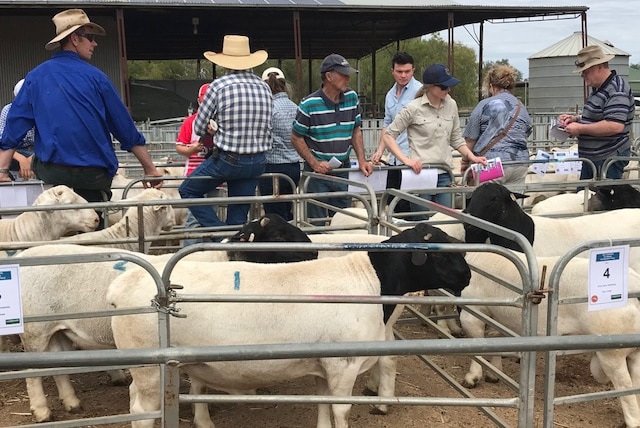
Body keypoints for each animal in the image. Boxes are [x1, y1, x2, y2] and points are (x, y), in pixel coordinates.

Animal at [109, 226, 470, 426]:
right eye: (441, 254)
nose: (467, 278)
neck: (371, 279)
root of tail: (122, 285)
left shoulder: (325, 367)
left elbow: (324, 411)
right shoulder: (344, 366)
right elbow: (341, 413)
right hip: (149, 366)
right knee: (142, 410)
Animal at [458, 251, 640, 428]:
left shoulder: (471, 314)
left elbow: (477, 345)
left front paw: (472, 377)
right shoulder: (495, 317)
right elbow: (494, 342)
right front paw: (494, 373)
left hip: (612, 351)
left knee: (625, 387)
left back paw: (631, 421)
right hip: (634, 352)